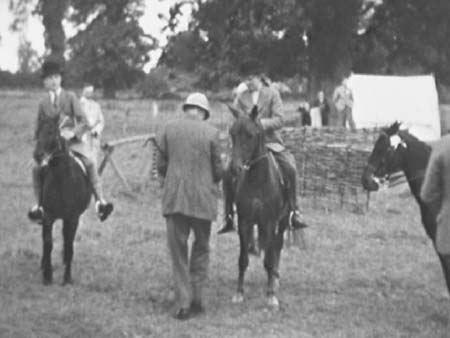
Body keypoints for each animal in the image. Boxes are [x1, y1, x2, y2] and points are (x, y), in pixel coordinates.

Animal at [35, 115, 92, 284]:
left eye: (52, 132)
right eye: (37, 132)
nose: (37, 155)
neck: (63, 180)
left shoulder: (72, 218)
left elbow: (69, 245)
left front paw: (67, 278)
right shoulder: (48, 216)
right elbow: (48, 243)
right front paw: (47, 275)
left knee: (67, 241)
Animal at [227, 105, 290, 308]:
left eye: (250, 135)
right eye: (232, 133)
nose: (235, 168)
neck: (257, 179)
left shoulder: (270, 222)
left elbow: (269, 259)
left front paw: (270, 296)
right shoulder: (245, 221)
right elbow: (242, 259)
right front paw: (239, 292)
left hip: (282, 222)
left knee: (277, 247)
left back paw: (275, 280)